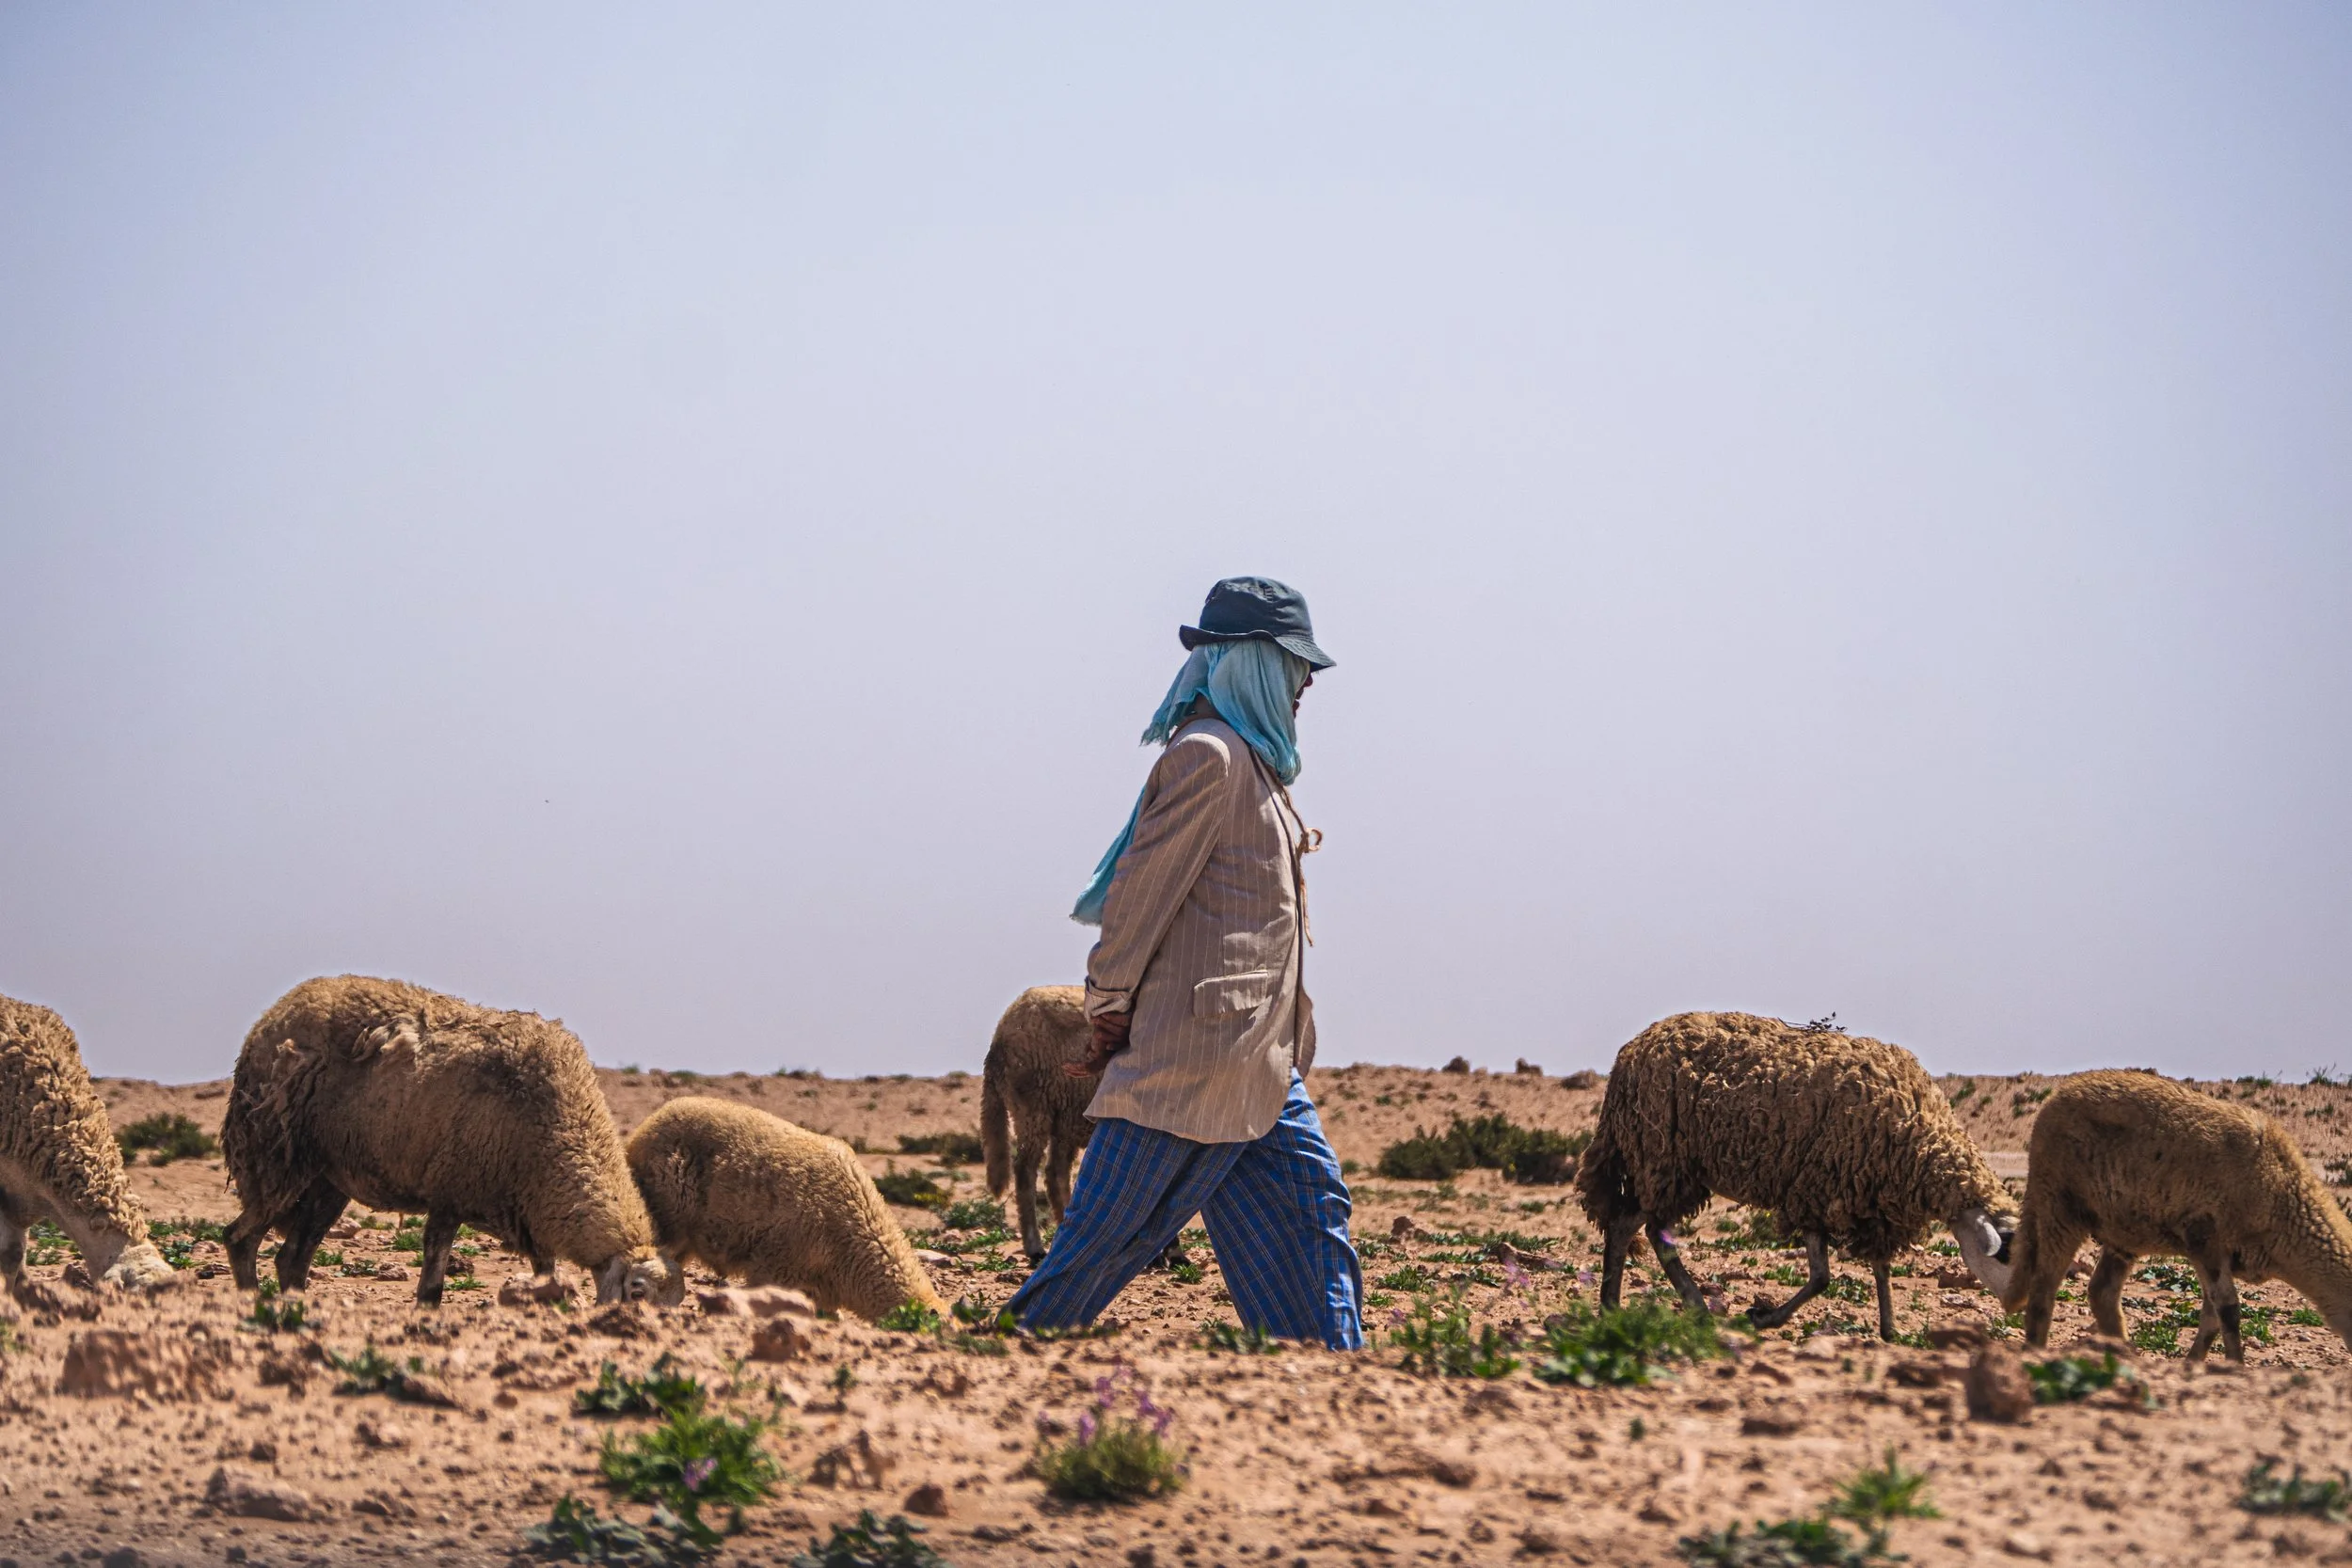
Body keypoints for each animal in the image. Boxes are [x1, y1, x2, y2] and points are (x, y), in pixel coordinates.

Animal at [219, 975, 676, 1307]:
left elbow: (546, 1278)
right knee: (240, 1239)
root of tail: (272, 1017)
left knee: (291, 1259)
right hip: (277, 1159)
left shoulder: (529, 1212)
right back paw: (253, 1307)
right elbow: (432, 1288)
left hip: (327, 1181)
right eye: (637, 1291)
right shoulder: (449, 1191)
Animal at [1575, 1011, 2016, 1341]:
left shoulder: (1872, 1201)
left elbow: (1881, 1267)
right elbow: (1822, 1278)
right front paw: (1761, 1317)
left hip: (1669, 1164)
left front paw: (1891, 1330)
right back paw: (1686, 1306)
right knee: (1644, 1228)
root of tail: (1630, 1051)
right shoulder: (1814, 1192)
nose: (2019, 1312)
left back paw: (1613, 1306)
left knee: (1630, 1224)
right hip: (1663, 1156)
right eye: (2005, 1255)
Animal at [2002, 1069, 2352, 1362]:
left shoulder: (2219, 1255)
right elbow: (2228, 1309)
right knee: (2043, 1288)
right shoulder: (2205, 1239)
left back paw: (2126, 1353)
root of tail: (2053, 1099)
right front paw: (2234, 1365)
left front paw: (2194, 1363)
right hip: (2059, 1204)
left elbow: (2211, 1316)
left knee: (2101, 1292)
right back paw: (2038, 1350)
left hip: (2123, 1228)